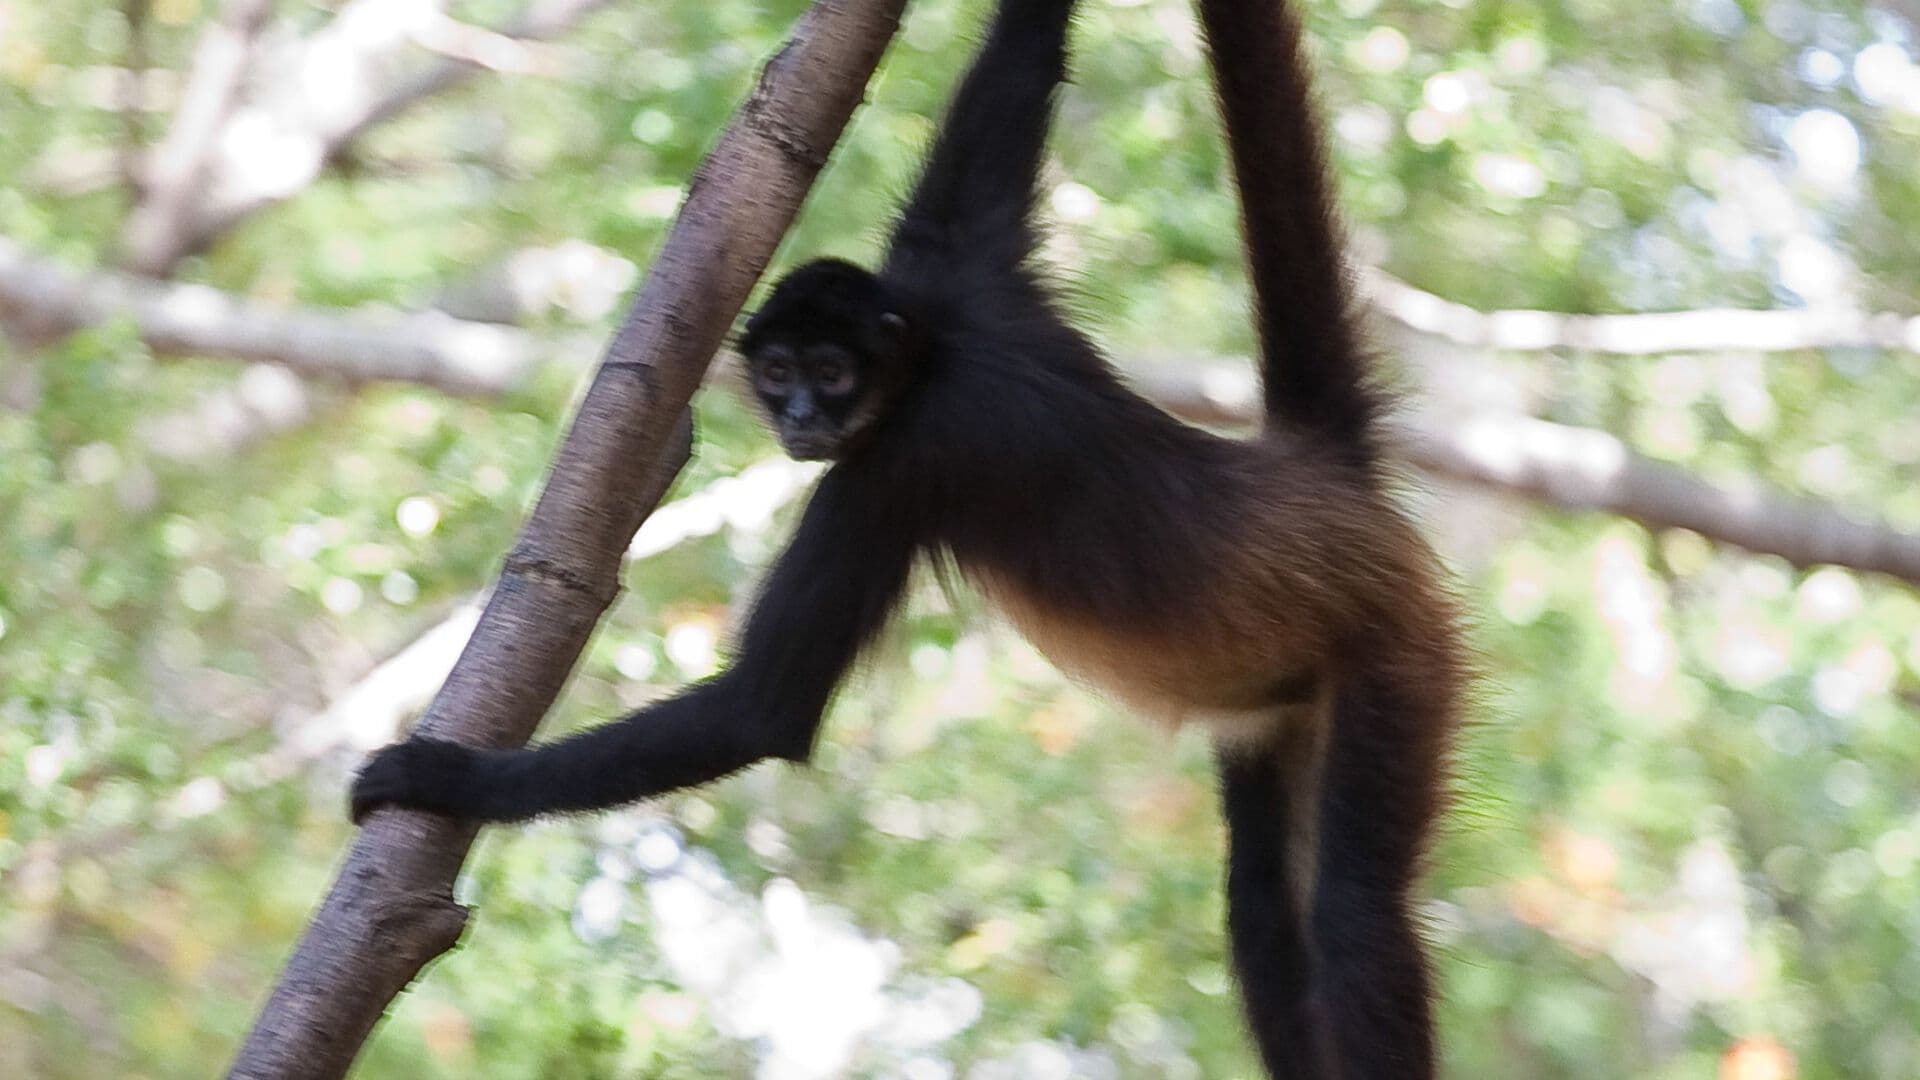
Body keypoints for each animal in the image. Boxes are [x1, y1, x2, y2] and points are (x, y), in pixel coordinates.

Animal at [351, 0, 1468, 1074]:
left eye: (831, 373)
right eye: (779, 372)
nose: (802, 417)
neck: (933, 355)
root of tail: (1313, 483)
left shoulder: (893, 466)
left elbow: (763, 712)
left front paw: (442, 778)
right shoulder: (962, 270)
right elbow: (1025, 59)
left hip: (1395, 653)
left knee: (1353, 923)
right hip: (1280, 702)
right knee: (1264, 917)